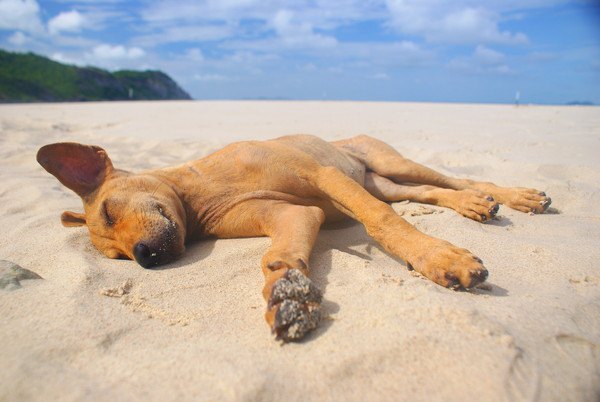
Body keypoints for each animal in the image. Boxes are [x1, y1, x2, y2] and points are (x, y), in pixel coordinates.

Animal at [38, 136, 552, 342]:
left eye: (109, 209)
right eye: (118, 260)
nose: (144, 257)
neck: (198, 195)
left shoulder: (321, 174)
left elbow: (381, 222)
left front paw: (437, 257)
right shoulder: (294, 213)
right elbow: (279, 257)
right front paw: (286, 297)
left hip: (385, 162)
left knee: (452, 178)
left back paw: (515, 196)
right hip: (383, 181)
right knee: (431, 192)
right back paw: (475, 205)